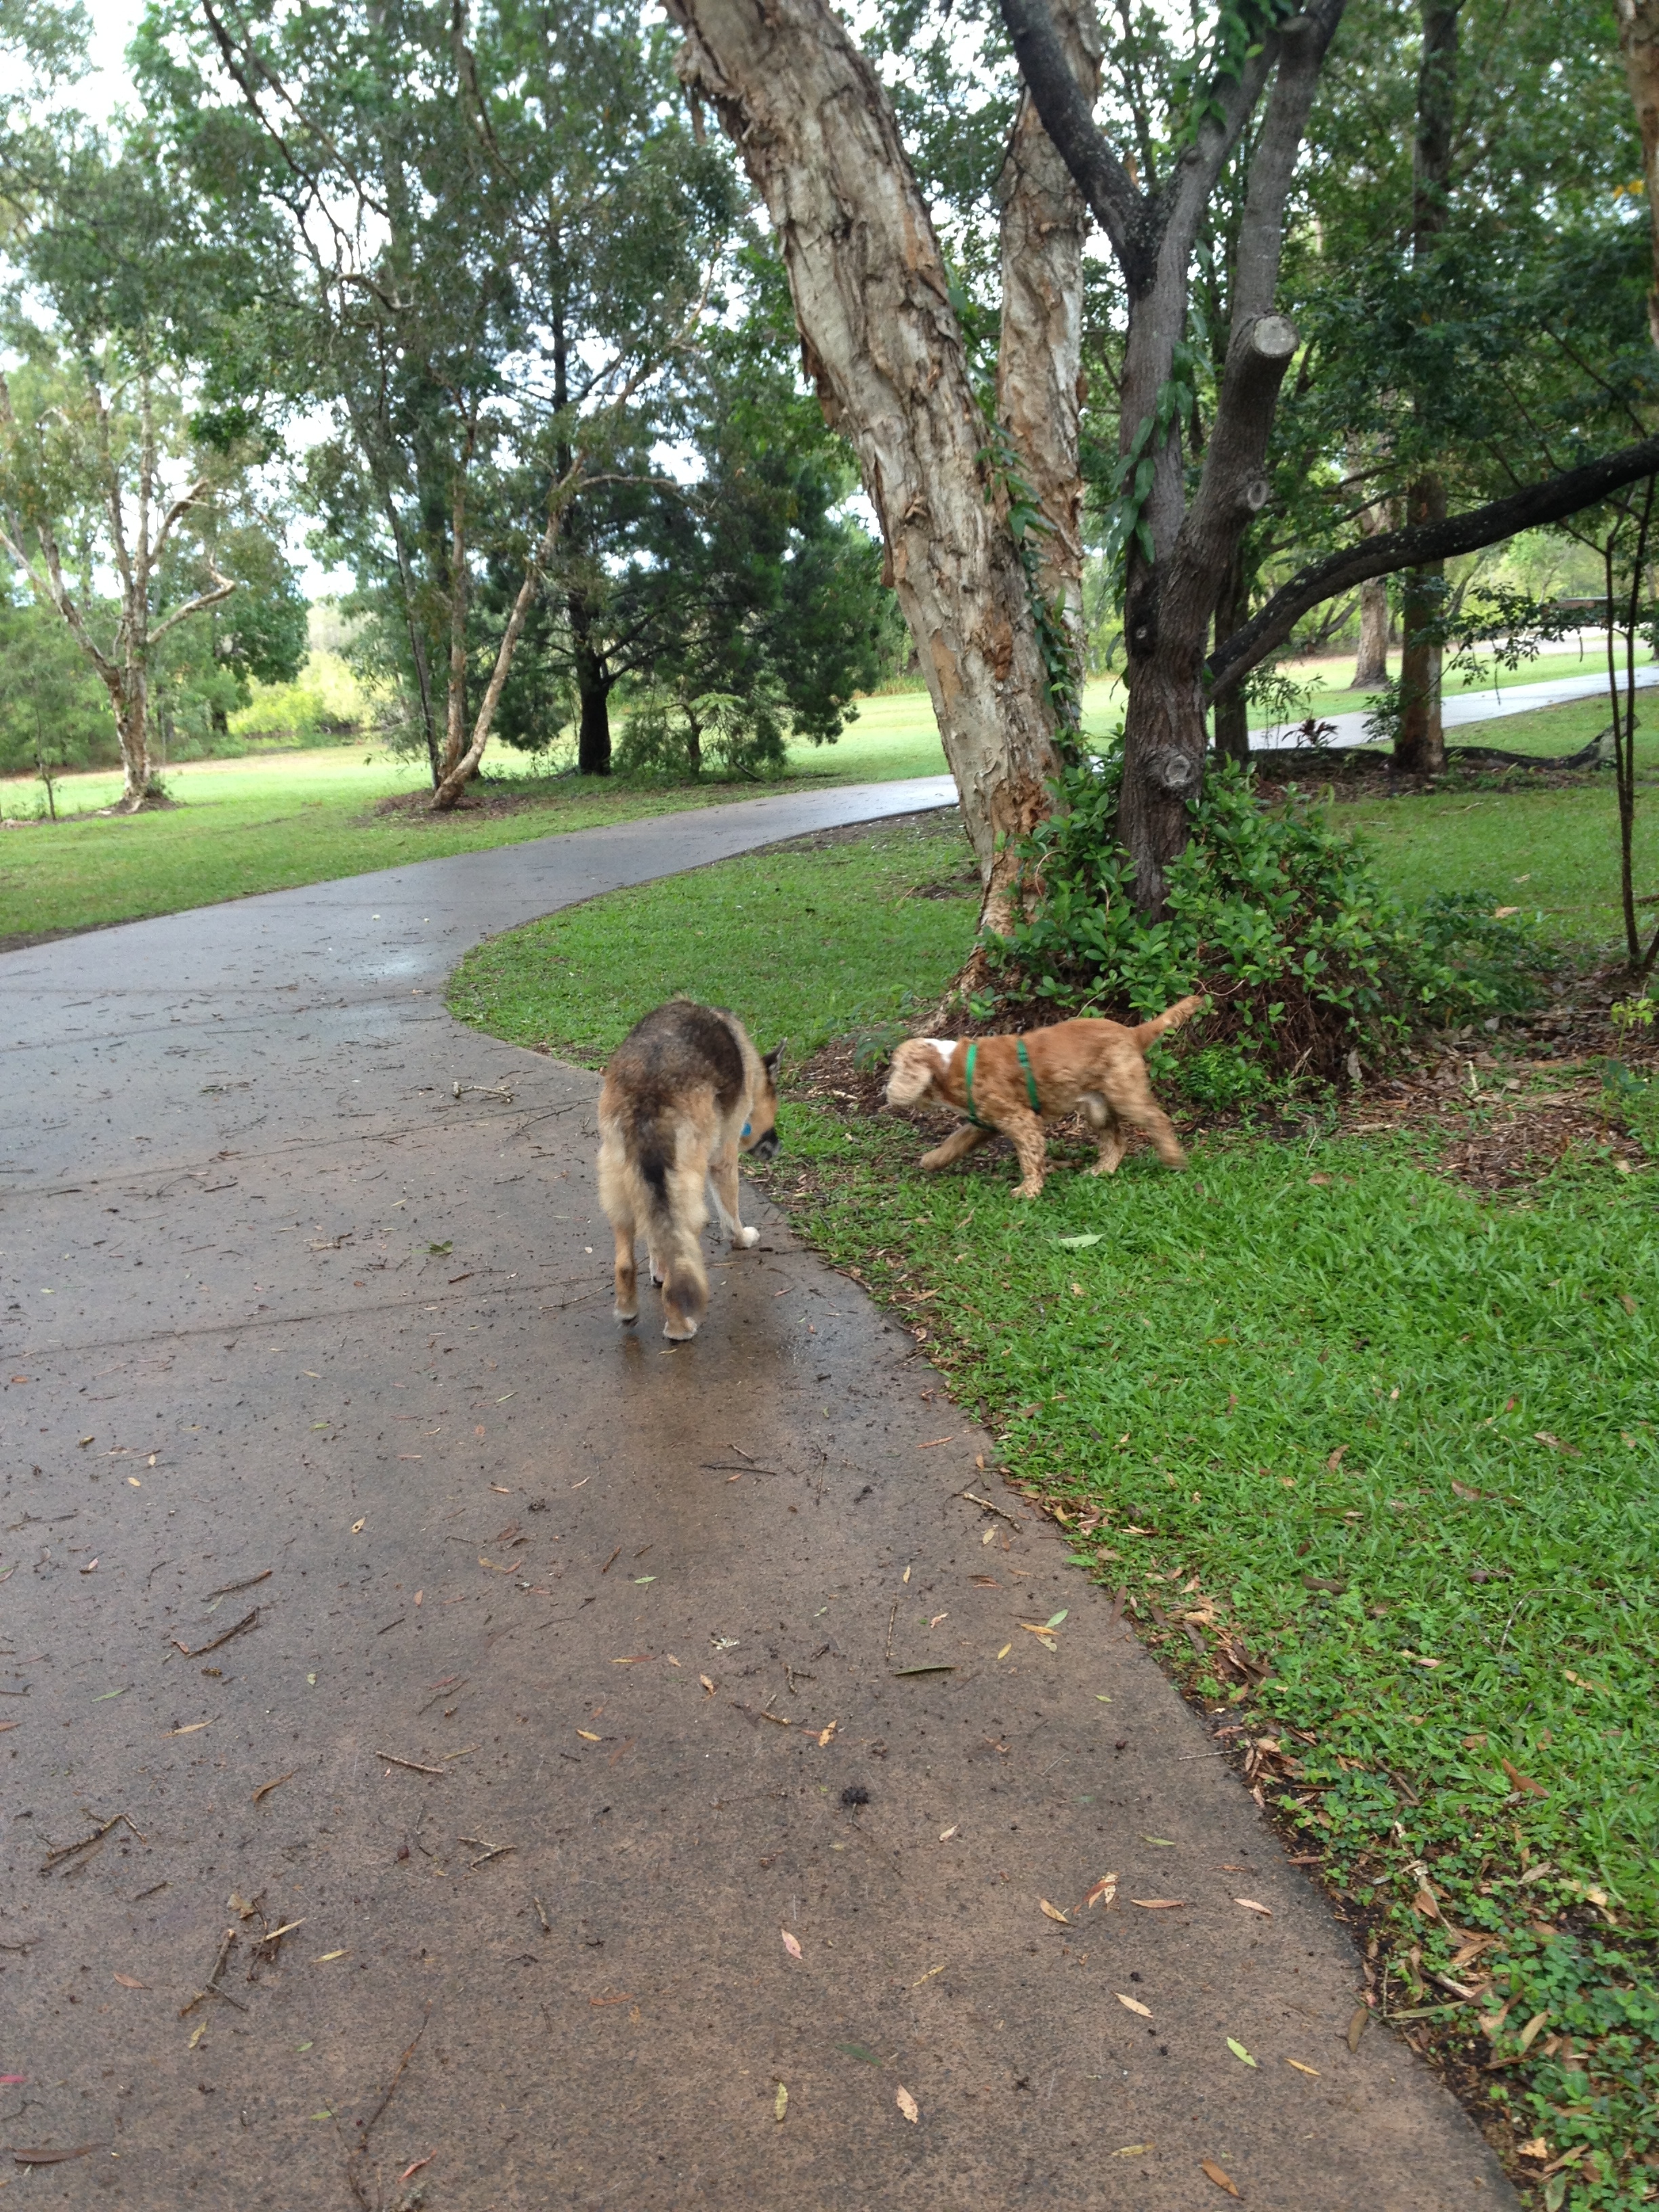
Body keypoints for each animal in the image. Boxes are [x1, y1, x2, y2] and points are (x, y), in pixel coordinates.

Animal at [597, 1000, 782, 1340]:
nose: (778, 1146)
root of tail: (647, 1090)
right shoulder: (723, 1158)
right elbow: (731, 1213)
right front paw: (741, 1239)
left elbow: (656, 1238)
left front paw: (656, 1271)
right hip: (687, 1190)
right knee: (681, 1257)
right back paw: (680, 1327)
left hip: (618, 1183)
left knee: (628, 1260)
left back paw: (628, 1310)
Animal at [884, 997, 1204, 1199]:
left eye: (895, 1067)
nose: (886, 1093)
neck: (949, 1063)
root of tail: (1133, 1033)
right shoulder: (984, 1122)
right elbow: (956, 1141)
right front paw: (932, 1160)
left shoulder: (1020, 1120)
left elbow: (1029, 1157)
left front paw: (1028, 1191)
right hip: (1097, 1106)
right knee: (1117, 1140)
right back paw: (1101, 1170)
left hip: (1125, 1093)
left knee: (1156, 1119)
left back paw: (1174, 1159)